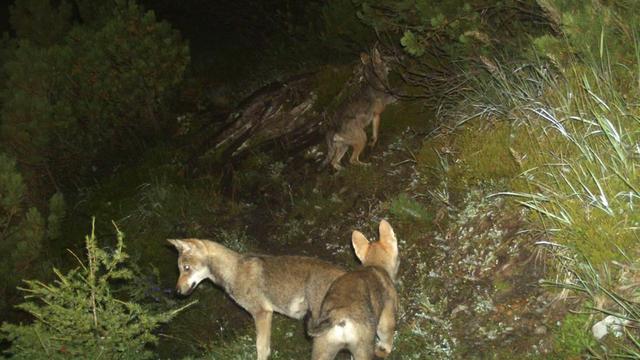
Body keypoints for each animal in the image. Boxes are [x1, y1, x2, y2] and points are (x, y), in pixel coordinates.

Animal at [168, 239, 342, 360]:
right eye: (179, 269)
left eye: (186, 268)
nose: (176, 292)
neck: (233, 271)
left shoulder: (262, 313)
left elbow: (261, 349)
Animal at [306, 219, 400, 360]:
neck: (375, 264)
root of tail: (338, 316)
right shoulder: (386, 317)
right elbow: (386, 338)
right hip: (363, 349)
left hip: (322, 349)